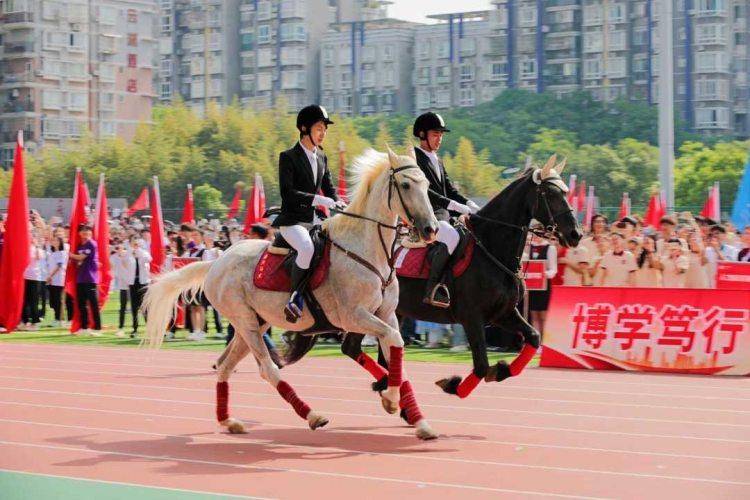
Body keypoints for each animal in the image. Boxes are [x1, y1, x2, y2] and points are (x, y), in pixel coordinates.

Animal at [142, 146, 442, 440]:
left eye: (427, 185)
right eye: (405, 184)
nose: (431, 229)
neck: (368, 252)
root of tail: (216, 261)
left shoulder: (386, 315)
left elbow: (397, 353)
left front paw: (419, 421)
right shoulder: (354, 317)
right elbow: (395, 342)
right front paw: (390, 399)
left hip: (254, 323)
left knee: (225, 364)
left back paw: (229, 421)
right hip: (246, 322)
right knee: (267, 369)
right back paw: (313, 415)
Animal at [281, 155, 582, 403]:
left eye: (567, 193)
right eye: (551, 193)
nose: (576, 234)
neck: (490, 248)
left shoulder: (503, 313)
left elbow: (533, 338)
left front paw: (503, 369)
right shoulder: (473, 317)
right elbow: (481, 365)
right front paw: (454, 384)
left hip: (385, 312)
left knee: (362, 347)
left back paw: (387, 384)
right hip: (363, 310)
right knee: (354, 347)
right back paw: (388, 384)